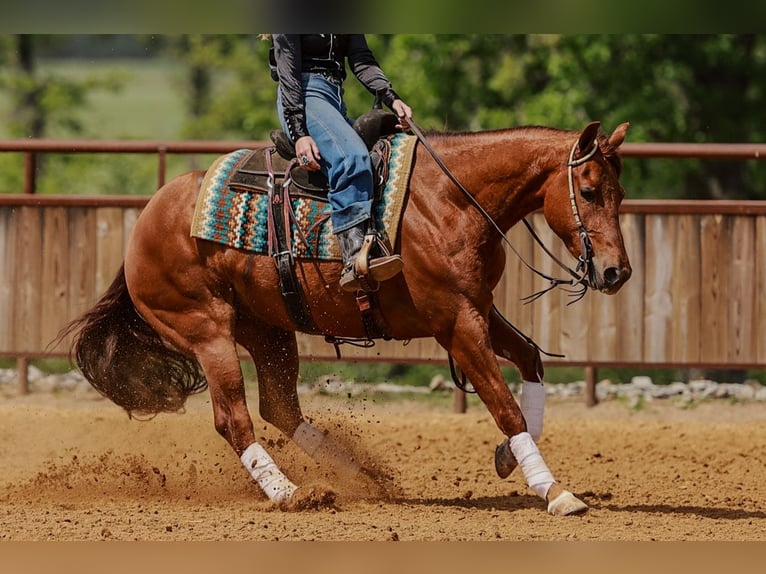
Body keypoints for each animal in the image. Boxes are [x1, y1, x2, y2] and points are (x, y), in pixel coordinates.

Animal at [61, 119, 631, 516]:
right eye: (588, 190)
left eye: (620, 193)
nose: (616, 271)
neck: (450, 199)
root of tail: (146, 221)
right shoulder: (455, 321)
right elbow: (504, 405)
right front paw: (554, 491)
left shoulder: (478, 307)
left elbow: (531, 361)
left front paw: (512, 458)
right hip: (207, 330)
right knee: (234, 418)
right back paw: (290, 493)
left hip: (267, 330)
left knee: (279, 408)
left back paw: (361, 475)